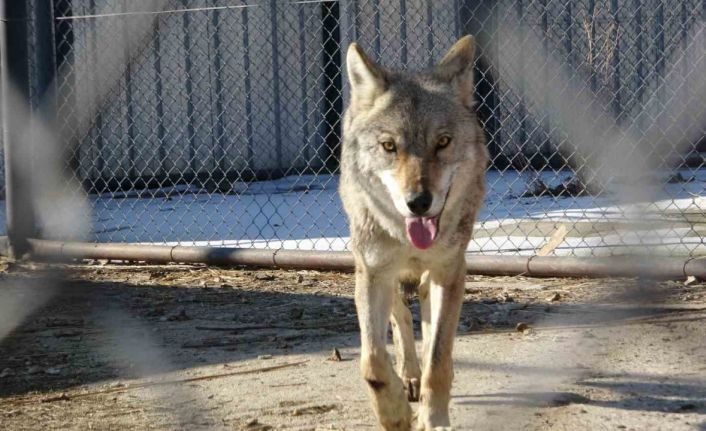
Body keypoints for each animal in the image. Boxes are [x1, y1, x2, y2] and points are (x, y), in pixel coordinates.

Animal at [338, 35, 486, 430]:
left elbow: (439, 360)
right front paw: (395, 414)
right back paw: (408, 376)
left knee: (427, 318)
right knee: (400, 318)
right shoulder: (372, 272)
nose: (419, 202)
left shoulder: (449, 271)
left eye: (443, 142)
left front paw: (433, 420)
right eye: (390, 146)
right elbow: (373, 361)